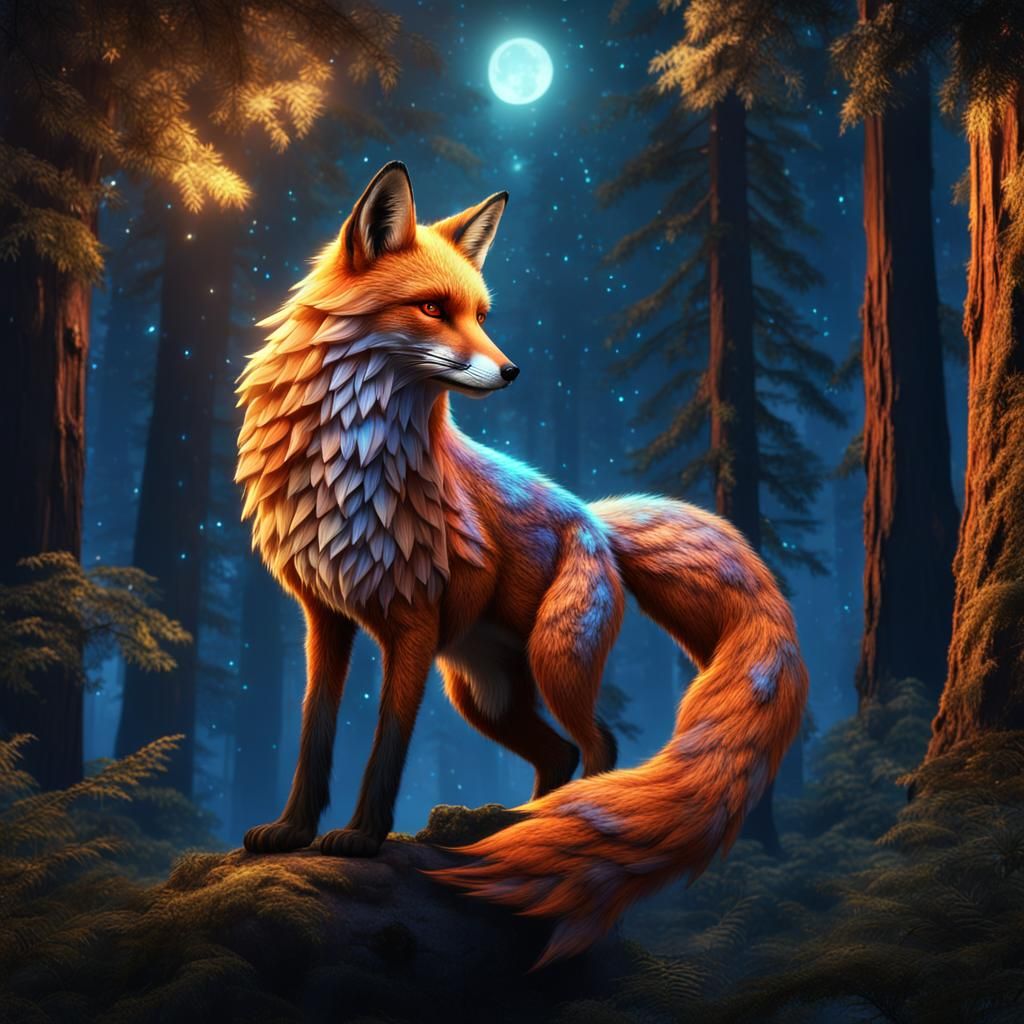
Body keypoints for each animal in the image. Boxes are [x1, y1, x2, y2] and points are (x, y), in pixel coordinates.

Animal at [235, 161, 808, 966]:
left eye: (482, 313)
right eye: (432, 308)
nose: (510, 371)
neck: (353, 465)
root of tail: (597, 520)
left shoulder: (412, 624)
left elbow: (387, 744)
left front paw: (362, 838)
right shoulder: (326, 618)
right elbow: (315, 732)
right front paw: (292, 831)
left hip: (553, 661)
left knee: (600, 746)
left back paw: (550, 825)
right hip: (485, 695)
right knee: (558, 754)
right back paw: (510, 825)